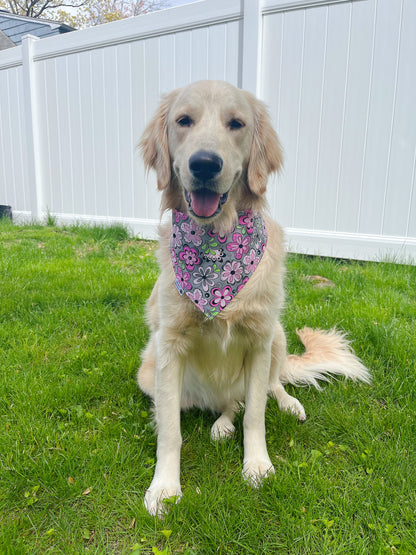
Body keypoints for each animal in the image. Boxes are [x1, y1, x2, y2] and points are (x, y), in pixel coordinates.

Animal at [137, 79, 370, 516]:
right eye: (183, 120)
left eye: (236, 124)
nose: (205, 164)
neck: (215, 247)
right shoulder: (169, 344)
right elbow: (171, 431)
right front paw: (164, 487)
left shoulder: (260, 339)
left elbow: (257, 414)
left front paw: (257, 465)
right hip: (148, 369)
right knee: (225, 405)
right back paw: (219, 423)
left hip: (277, 334)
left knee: (267, 388)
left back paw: (285, 405)